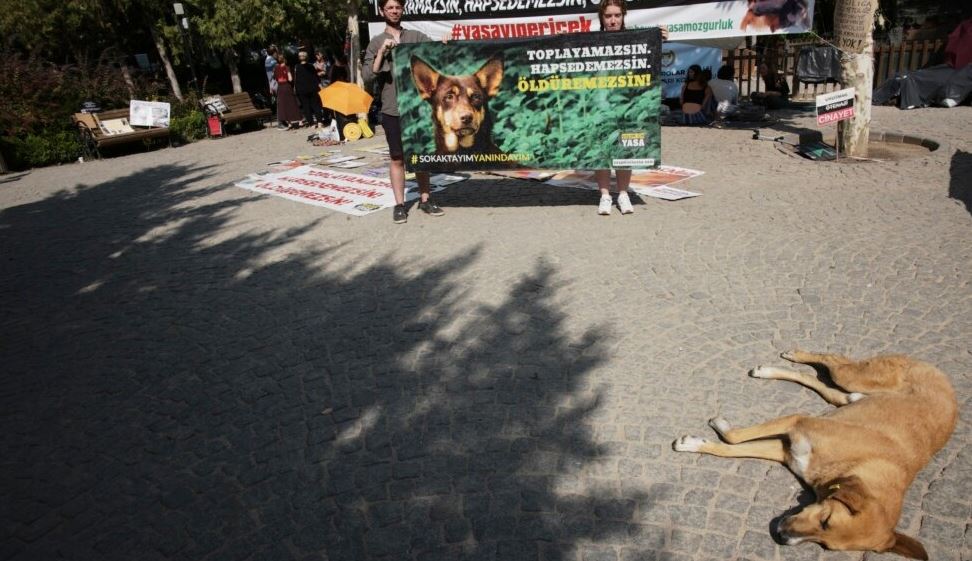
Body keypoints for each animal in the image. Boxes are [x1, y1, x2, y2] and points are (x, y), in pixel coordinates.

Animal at [676, 350, 956, 556]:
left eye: (825, 544)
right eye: (826, 520)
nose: (781, 537)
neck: (854, 464)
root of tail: (945, 378)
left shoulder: (787, 450)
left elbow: (730, 447)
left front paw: (698, 442)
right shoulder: (797, 423)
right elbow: (733, 437)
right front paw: (707, 433)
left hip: (846, 397)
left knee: (819, 383)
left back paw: (770, 370)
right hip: (851, 377)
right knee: (834, 359)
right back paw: (793, 356)